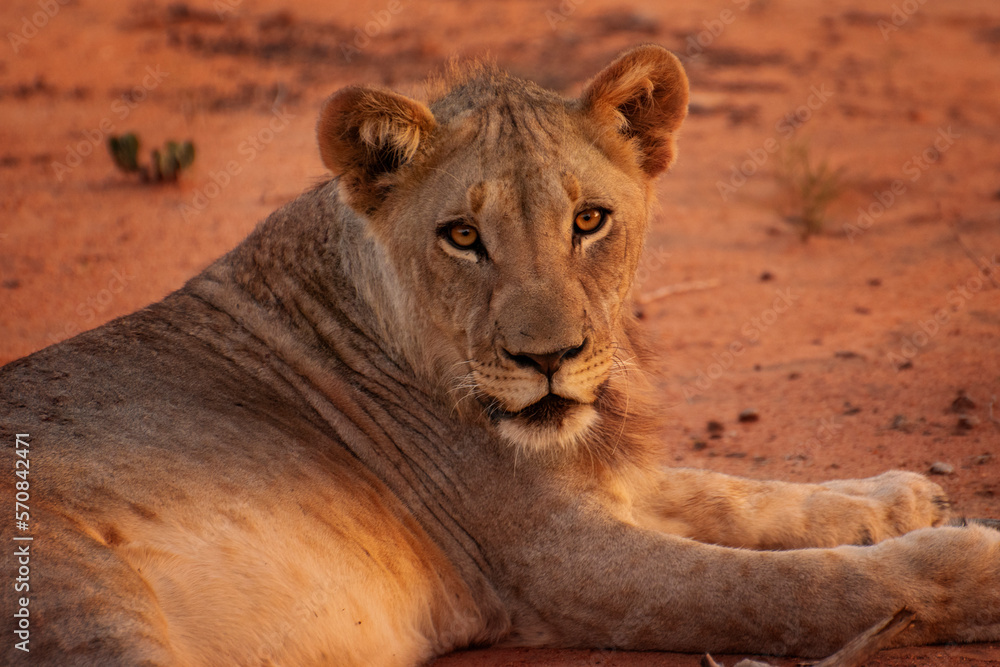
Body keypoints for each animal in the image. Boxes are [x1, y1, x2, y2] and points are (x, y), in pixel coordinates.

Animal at [1, 44, 1000, 664]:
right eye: (462, 236)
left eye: (589, 220)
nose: (550, 357)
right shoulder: (558, 564)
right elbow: (800, 588)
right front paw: (972, 561)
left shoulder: (600, 480)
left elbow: (741, 492)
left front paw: (899, 495)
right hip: (82, 595)